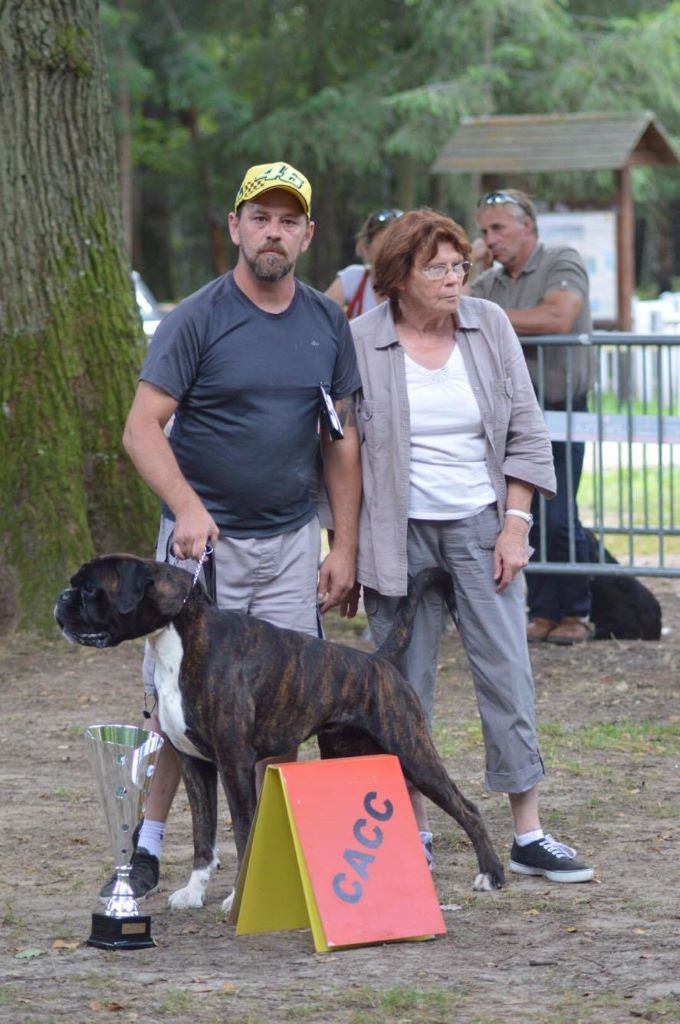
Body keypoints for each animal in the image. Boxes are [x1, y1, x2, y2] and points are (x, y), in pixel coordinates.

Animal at [54, 557, 503, 909]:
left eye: (89, 588)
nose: (61, 598)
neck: (180, 637)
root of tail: (378, 661)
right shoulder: (195, 765)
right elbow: (203, 835)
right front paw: (194, 892)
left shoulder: (233, 765)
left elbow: (241, 834)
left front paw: (237, 898)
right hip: (349, 754)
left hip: (413, 752)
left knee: (468, 809)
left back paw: (491, 875)